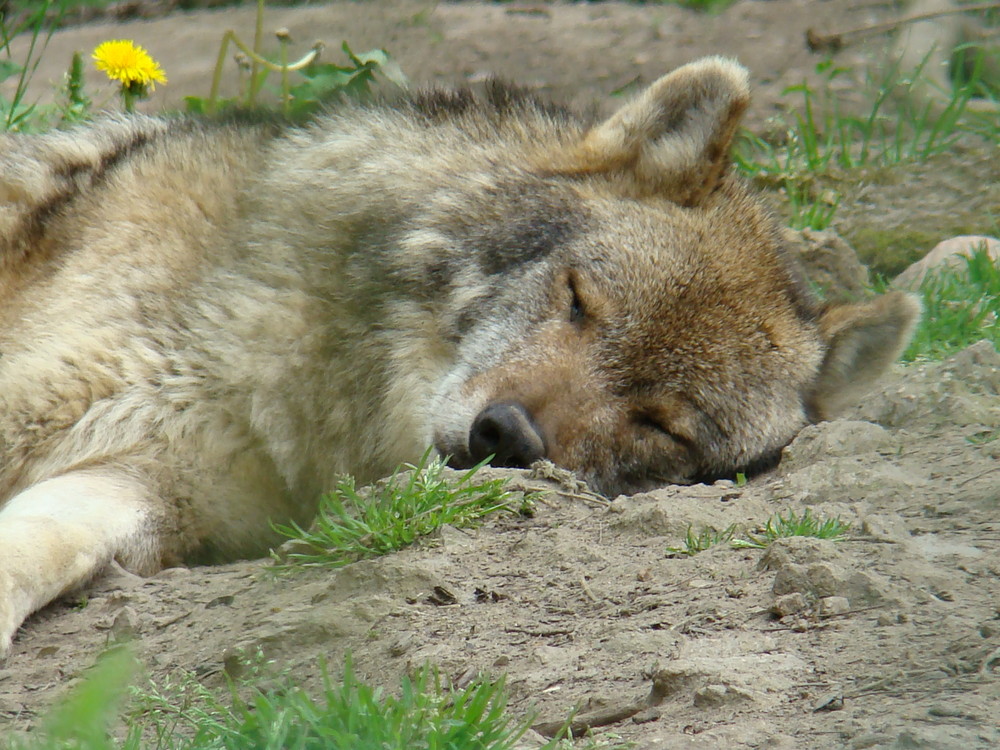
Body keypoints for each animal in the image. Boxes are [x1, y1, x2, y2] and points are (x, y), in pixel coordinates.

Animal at [0, 58, 916, 656]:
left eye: (662, 425)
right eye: (579, 299)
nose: (504, 435)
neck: (274, 372)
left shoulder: (143, 484)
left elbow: (30, 550)